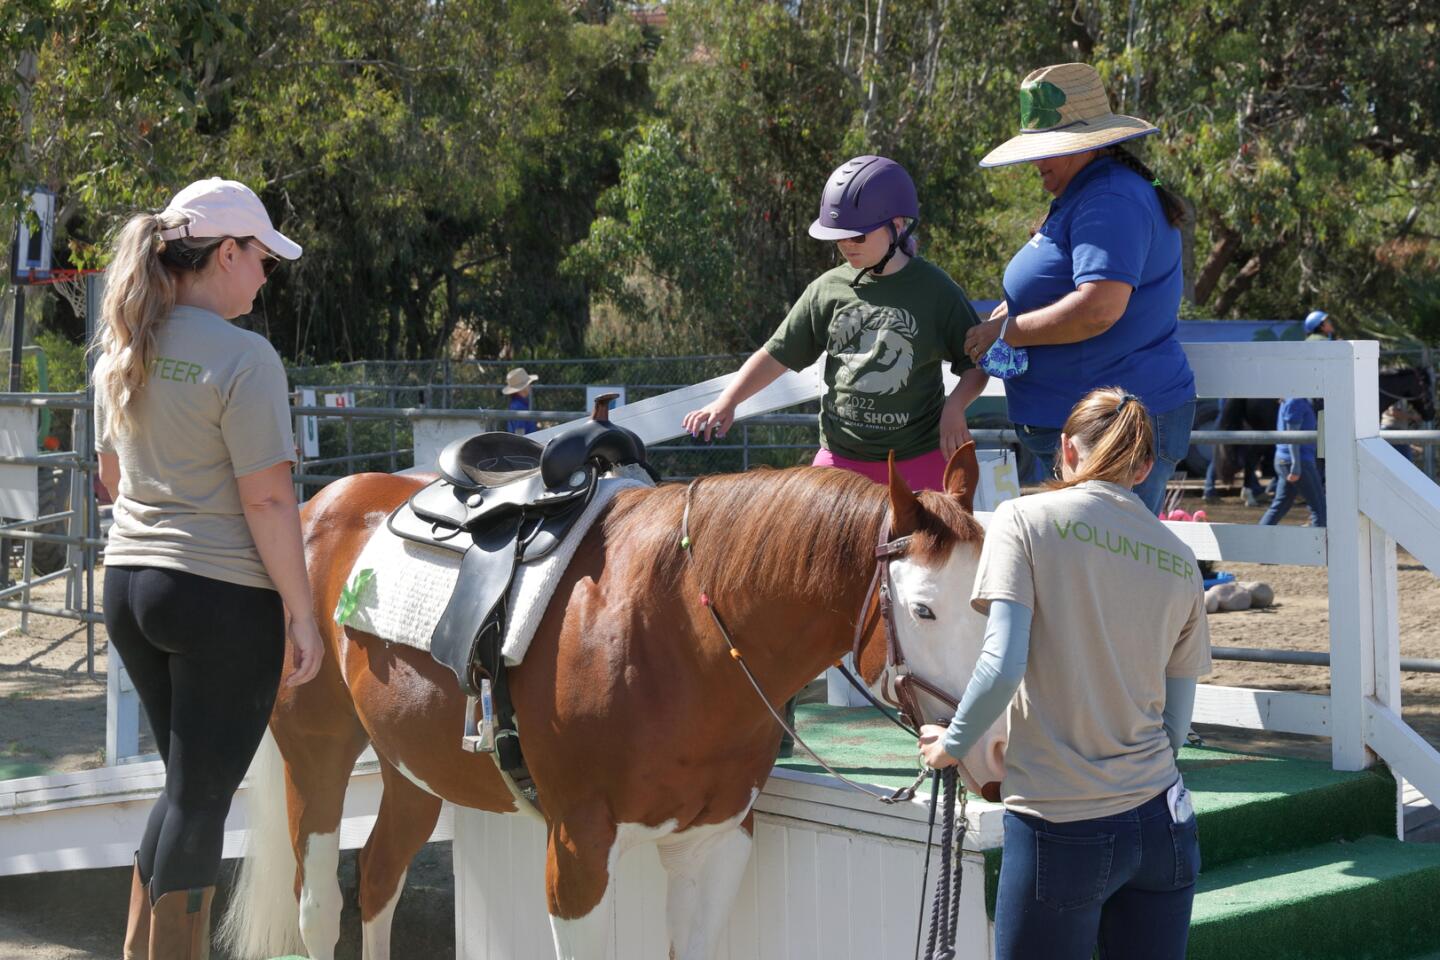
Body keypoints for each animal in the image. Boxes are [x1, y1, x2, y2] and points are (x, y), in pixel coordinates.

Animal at [221, 446, 1002, 955]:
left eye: (991, 598)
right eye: (924, 609)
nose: (993, 750)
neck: (682, 631)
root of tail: (319, 503)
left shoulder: (715, 844)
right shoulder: (578, 850)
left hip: (413, 768)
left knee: (381, 877)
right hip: (316, 758)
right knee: (320, 907)